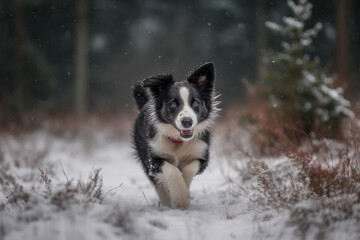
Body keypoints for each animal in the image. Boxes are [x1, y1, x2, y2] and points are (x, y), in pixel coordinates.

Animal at [131, 62, 218, 209]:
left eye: (195, 103)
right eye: (172, 104)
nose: (187, 122)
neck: (179, 141)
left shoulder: (202, 156)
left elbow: (188, 169)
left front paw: (185, 190)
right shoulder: (153, 159)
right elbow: (172, 170)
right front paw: (180, 198)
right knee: (159, 185)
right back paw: (165, 204)